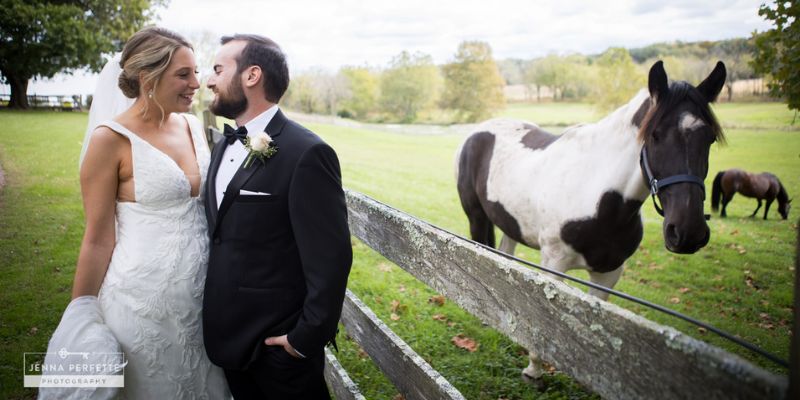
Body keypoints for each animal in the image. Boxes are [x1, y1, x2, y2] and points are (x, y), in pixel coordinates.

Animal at [456, 61, 724, 382]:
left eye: (709, 138)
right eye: (655, 135)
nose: (687, 232)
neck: (600, 198)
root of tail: (478, 131)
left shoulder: (608, 273)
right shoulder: (554, 265)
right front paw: (534, 370)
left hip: (510, 225)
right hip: (476, 217)